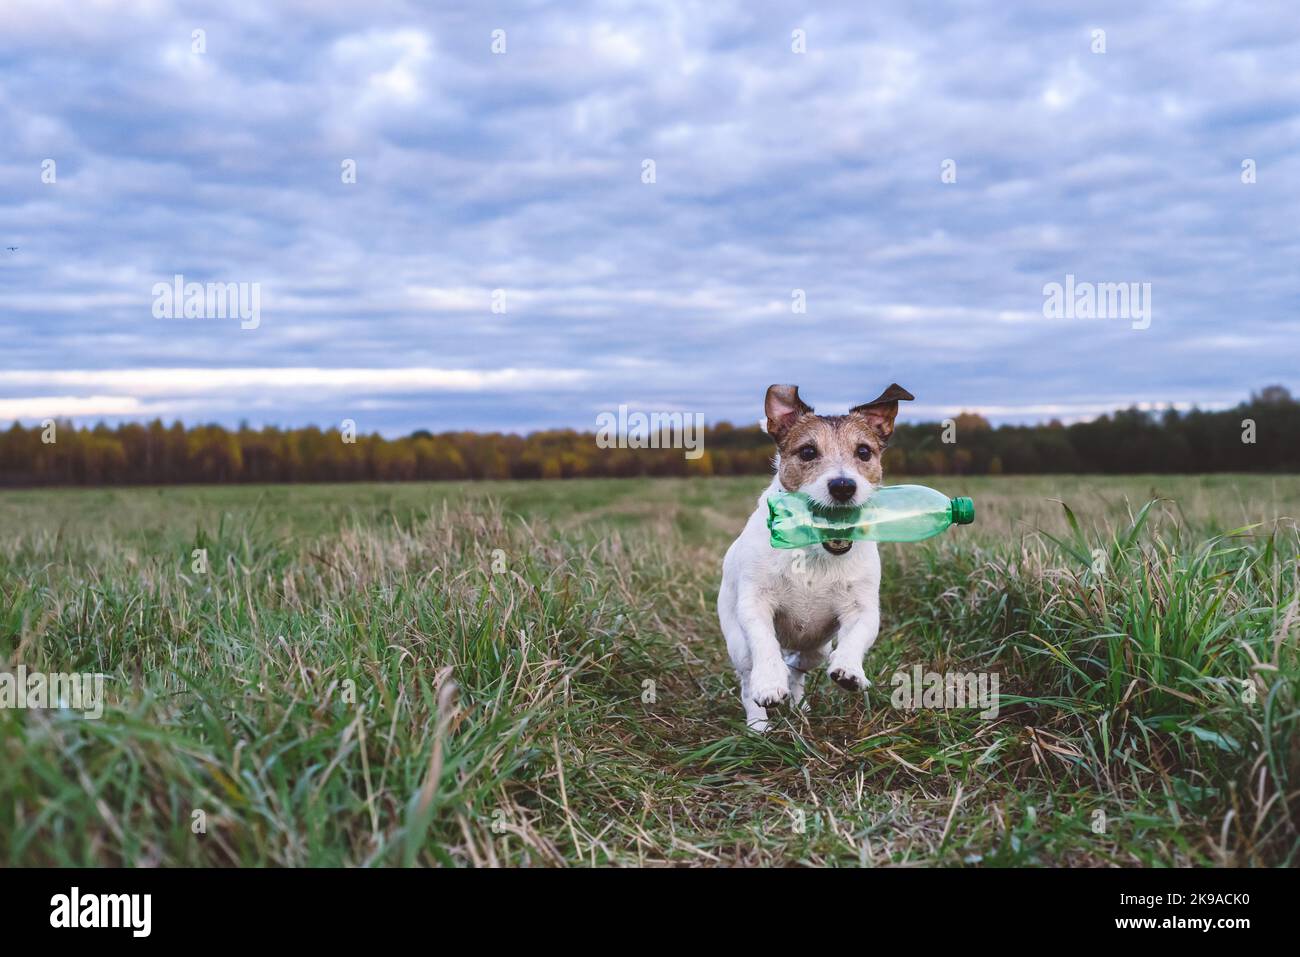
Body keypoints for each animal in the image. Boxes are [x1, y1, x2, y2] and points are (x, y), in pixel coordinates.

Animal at [712, 384, 915, 728]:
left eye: (864, 452)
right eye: (808, 452)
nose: (843, 486)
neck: (814, 550)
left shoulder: (862, 608)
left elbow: (857, 636)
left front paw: (850, 670)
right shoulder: (755, 604)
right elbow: (765, 643)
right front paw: (770, 684)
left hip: (815, 649)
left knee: (797, 668)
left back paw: (799, 705)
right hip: (738, 645)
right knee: (748, 680)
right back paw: (758, 724)